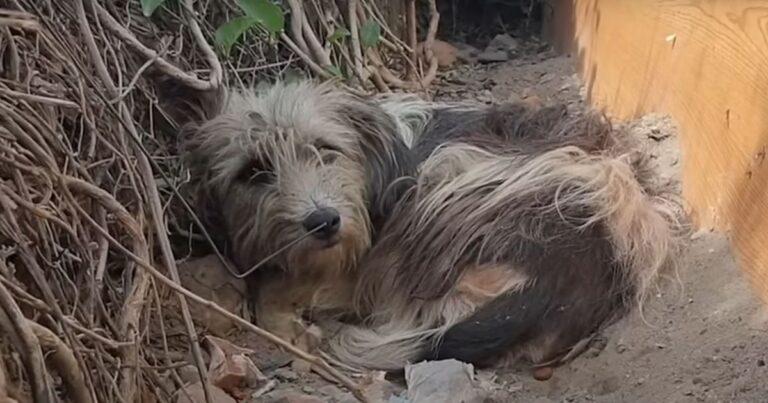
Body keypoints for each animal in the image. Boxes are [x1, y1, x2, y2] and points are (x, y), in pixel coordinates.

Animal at [160, 80, 680, 374]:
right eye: (253, 171)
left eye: (326, 149)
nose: (322, 222)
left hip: (448, 179)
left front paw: (287, 319)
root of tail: (556, 284)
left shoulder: (358, 256)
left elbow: (275, 291)